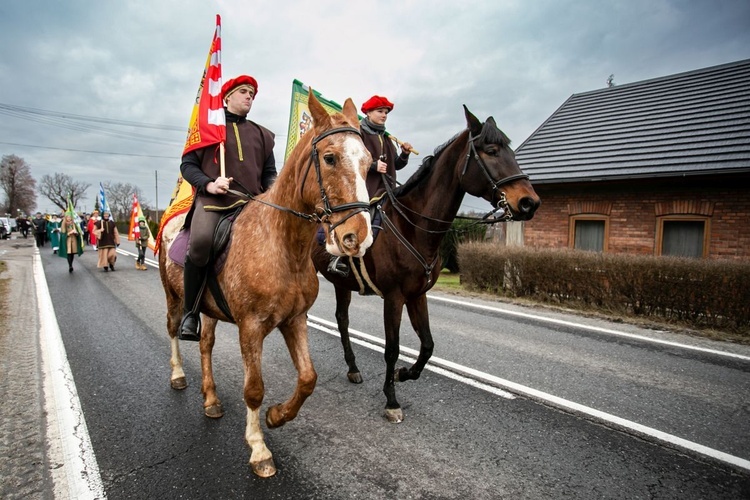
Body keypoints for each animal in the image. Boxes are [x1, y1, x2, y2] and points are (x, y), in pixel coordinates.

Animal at [162, 92, 378, 478]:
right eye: (330, 157)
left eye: (368, 162)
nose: (358, 237)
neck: (282, 245)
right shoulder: (251, 327)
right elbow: (254, 389)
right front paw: (259, 449)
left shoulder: (294, 320)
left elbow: (308, 378)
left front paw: (277, 416)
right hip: (174, 298)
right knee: (174, 330)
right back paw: (178, 375)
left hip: (209, 311)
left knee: (205, 346)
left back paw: (211, 399)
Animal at [312, 105, 540, 422]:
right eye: (493, 151)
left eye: (511, 151)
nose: (530, 202)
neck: (413, 226)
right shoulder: (394, 297)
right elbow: (392, 348)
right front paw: (392, 399)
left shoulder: (417, 295)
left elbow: (428, 346)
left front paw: (404, 373)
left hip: (342, 284)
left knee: (342, 321)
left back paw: (353, 368)